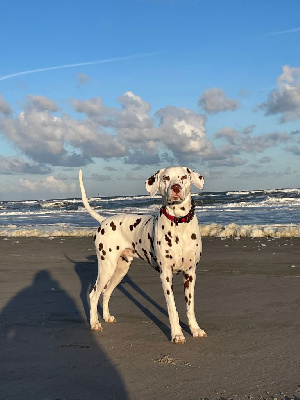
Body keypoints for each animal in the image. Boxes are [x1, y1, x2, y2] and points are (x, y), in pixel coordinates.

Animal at [78, 166, 207, 344]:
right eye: (166, 178)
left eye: (183, 177)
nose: (176, 188)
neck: (179, 224)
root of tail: (104, 220)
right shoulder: (166, 276)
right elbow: (172, 308)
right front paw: (176, 334)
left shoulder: (190, 274)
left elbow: (190, 307)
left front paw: (195, 329)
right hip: (106, 268)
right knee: (93, 294)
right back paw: (94, 323)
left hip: (120, 271)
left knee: (106, 292)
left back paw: (106, 316)